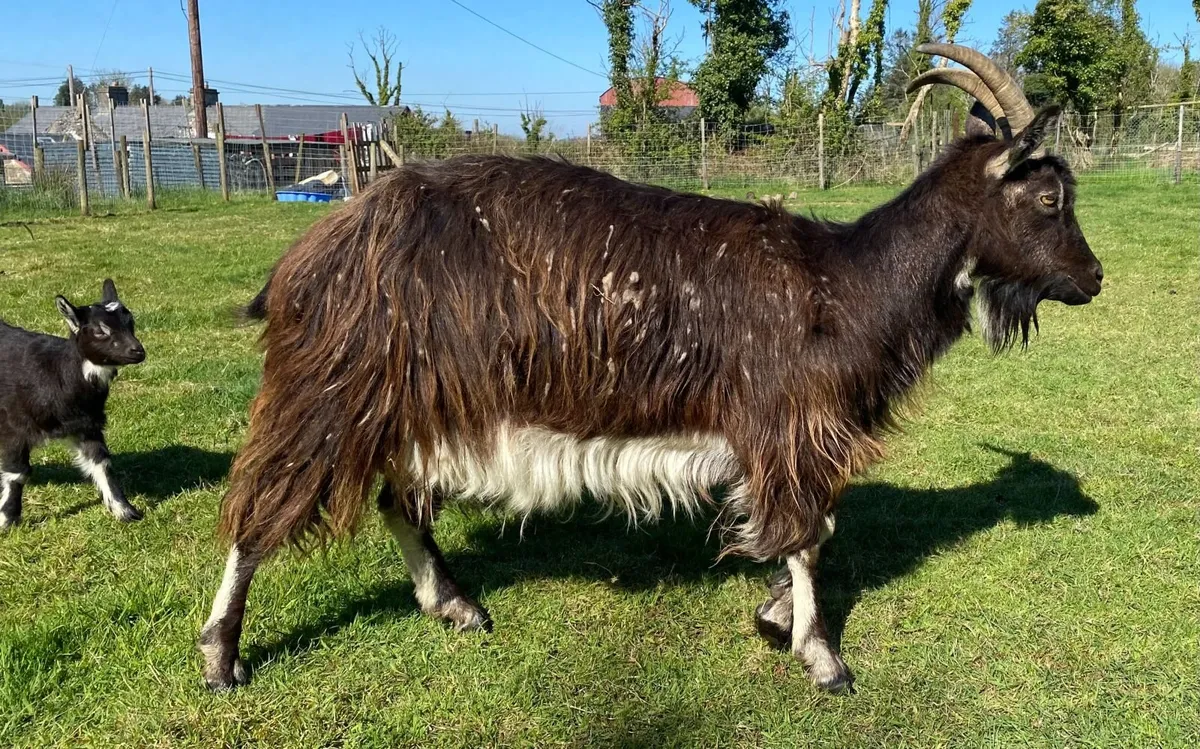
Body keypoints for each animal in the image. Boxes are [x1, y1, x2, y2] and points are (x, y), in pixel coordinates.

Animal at [0, 279, 146, 528]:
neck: (56, 373)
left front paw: (125, 511)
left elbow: (102, 463)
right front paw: (7, 520)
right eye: (99, 330)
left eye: (131, 322)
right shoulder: (14, 427)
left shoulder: (87, 426)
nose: (138, 351)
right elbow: (17, 473)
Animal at [199, 45, 1103, 692]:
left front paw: (774, 617)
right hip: (331, 390)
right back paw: (220, 655)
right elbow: (809, 535)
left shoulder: (787, 440)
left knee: (398, 500)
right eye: (1048, 199)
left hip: (415, 400)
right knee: (261, 508)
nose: (1093, 278)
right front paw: (821, 655)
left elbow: (813, 530)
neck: (846, 281)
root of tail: (313, 253)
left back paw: (456, 605)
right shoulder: (787, 426)